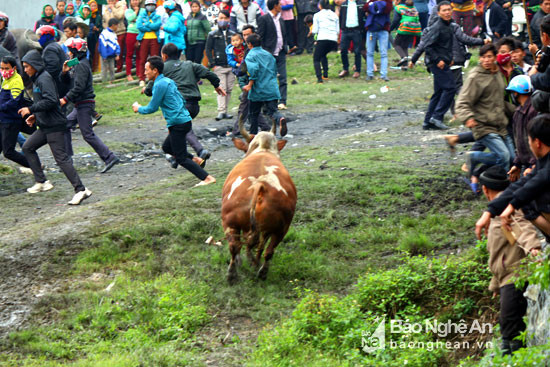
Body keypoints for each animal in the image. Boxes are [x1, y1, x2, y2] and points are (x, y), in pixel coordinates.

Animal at [221, 118, 298, 284]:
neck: (263, 149)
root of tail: (260, 186)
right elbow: (260, 246)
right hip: (281, 228)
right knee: (268, 250)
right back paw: (260, 270)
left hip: (230, 223)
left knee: (235, 247)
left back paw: (234, 272)